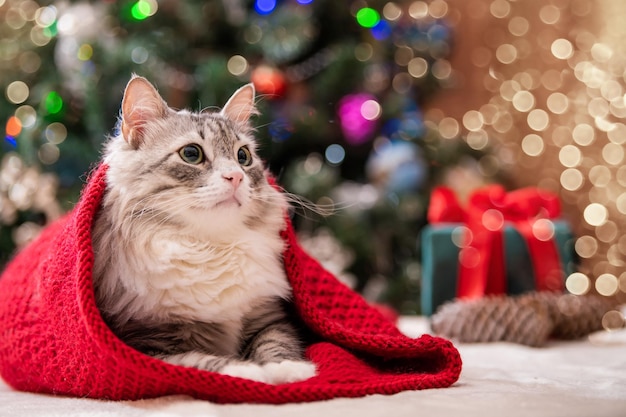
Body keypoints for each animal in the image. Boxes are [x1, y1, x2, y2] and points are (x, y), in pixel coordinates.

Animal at [91, 75, 316, 384]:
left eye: (243, 156)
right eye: (191, 154)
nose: (235, 177)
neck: (209, 245)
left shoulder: (269, 317)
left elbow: (275, 343)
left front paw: (289, 370)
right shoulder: (142, 346)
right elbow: (198, 362)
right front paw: (247, 372)